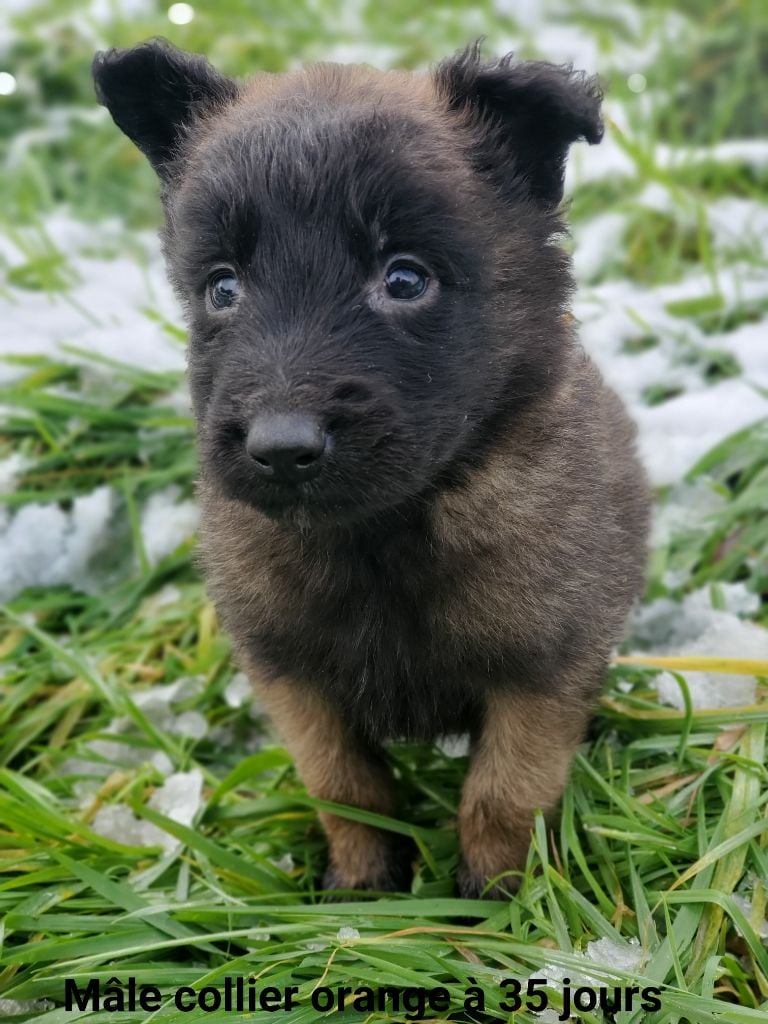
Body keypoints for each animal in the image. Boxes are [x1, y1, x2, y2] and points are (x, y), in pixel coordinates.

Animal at [93, 39, 651, 897]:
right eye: (223, 286)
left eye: (405, 278)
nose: (280, 448)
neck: (383, 536)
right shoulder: (293, 677)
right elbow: (344, 786)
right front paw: (361, 887)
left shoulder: (542, 671)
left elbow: (501, 795)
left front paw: (493, 900)